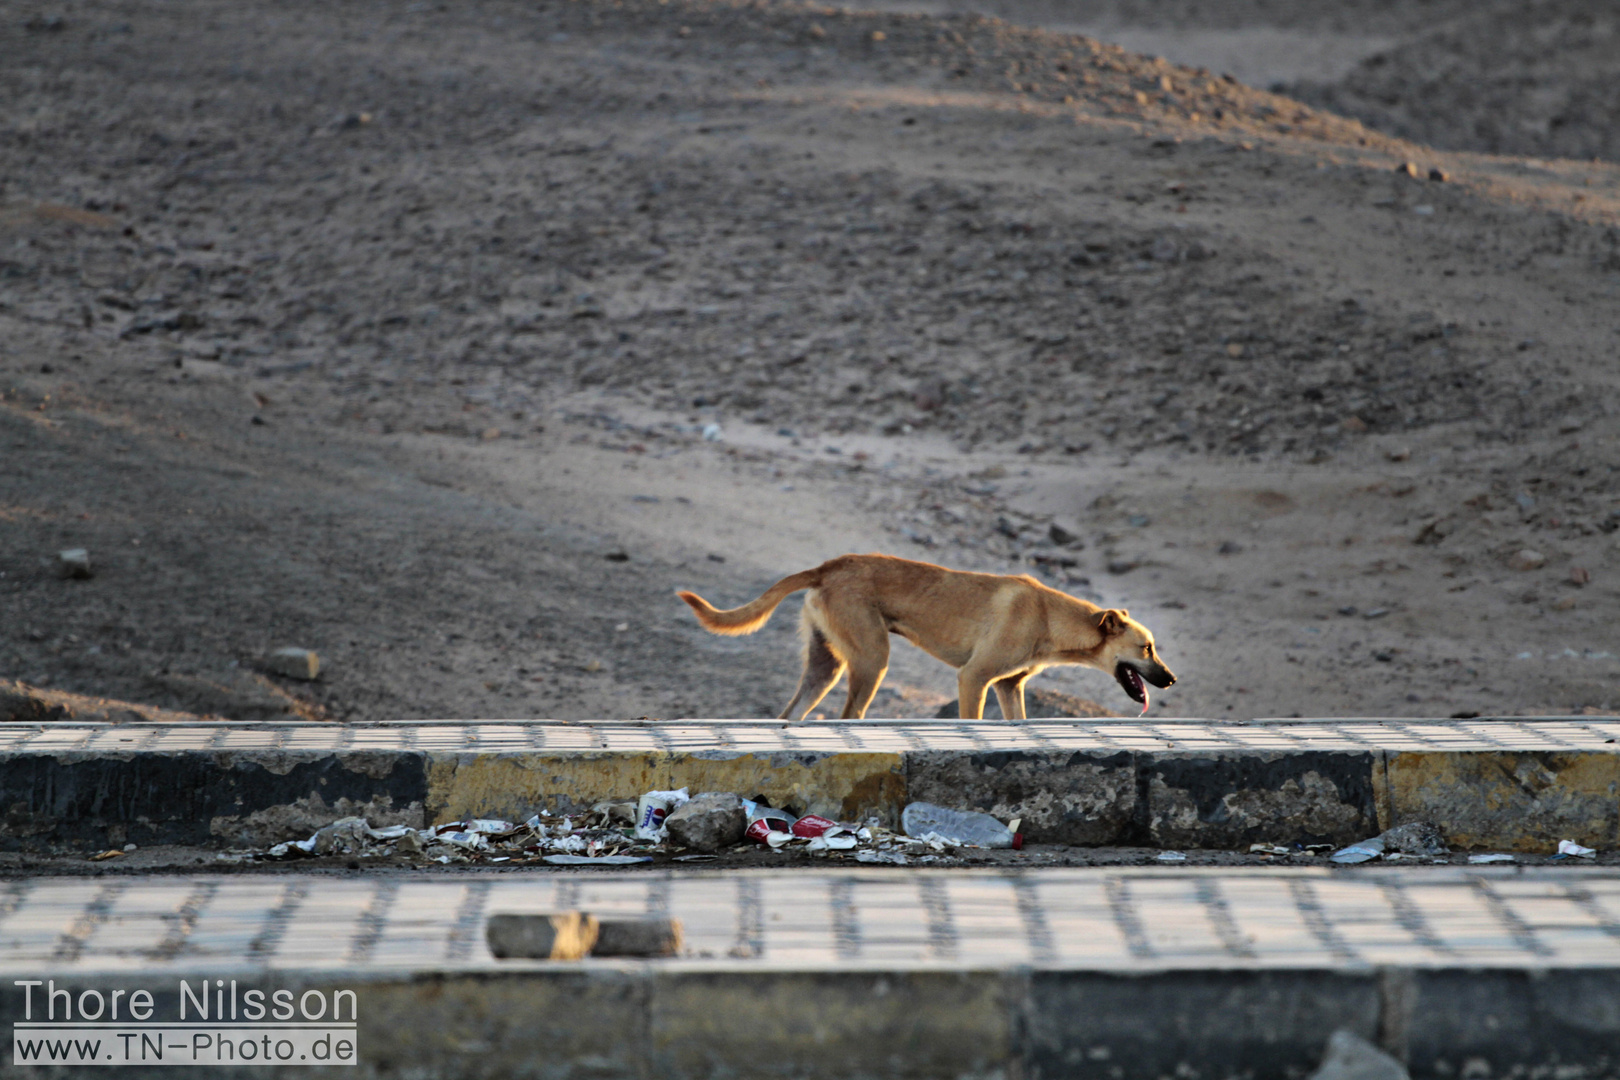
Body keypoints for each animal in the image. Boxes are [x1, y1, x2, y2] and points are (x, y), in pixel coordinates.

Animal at [677, 553, 1172, 722]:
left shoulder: (1009, 688)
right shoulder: (974, 679)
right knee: (849, 715)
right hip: (872, 659)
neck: (1049, 617)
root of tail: (829, 565)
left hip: (826, 665)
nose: (1170, 680)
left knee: (791, 714)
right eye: (1146, 648)